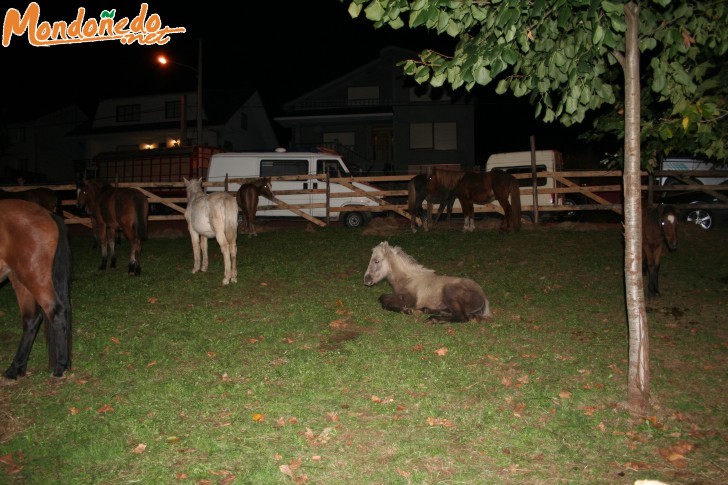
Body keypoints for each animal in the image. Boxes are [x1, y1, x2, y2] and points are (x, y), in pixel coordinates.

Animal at [0, 199, 72, 376]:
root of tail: (48, 213)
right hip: (19, 278)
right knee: (31, 318)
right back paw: (16, 367)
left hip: (33, 276)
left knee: (55, 312)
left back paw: (60, 366)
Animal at [362, 240, 492, 324]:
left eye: (377, 261)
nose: (366, 280)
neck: (407, 279)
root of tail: (484, 298)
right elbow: (382, 297)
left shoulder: (409, 299)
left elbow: (384, 302)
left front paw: (407, 310)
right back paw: (429, 311)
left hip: (450, 292)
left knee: (462, 317)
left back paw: (433, 318)